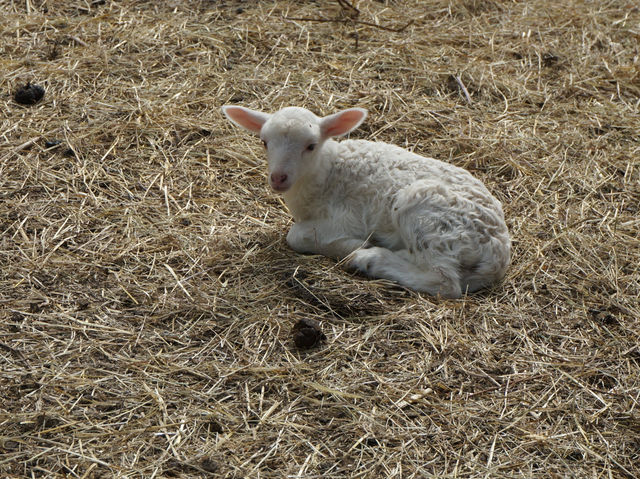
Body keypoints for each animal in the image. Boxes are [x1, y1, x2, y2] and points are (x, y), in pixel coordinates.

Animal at [220, 107, 510, 298]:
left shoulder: (345, 217)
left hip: (428, 215)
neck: (329, 172)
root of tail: (498, 253)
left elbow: (296, 236)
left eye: (311, 146)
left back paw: (370, 258)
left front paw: (356, 246)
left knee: (444, 281)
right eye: (264, 142)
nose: (278, 178)